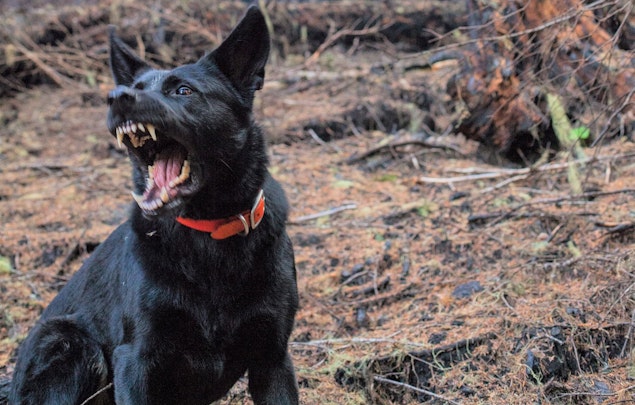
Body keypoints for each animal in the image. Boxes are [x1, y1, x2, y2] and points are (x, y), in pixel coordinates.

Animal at [9, 6, 298, 404]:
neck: (208, 235)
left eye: (183, 90)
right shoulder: (136, 358)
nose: (116, 96)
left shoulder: (273, 359)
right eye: (137, 88)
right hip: (72, 343)